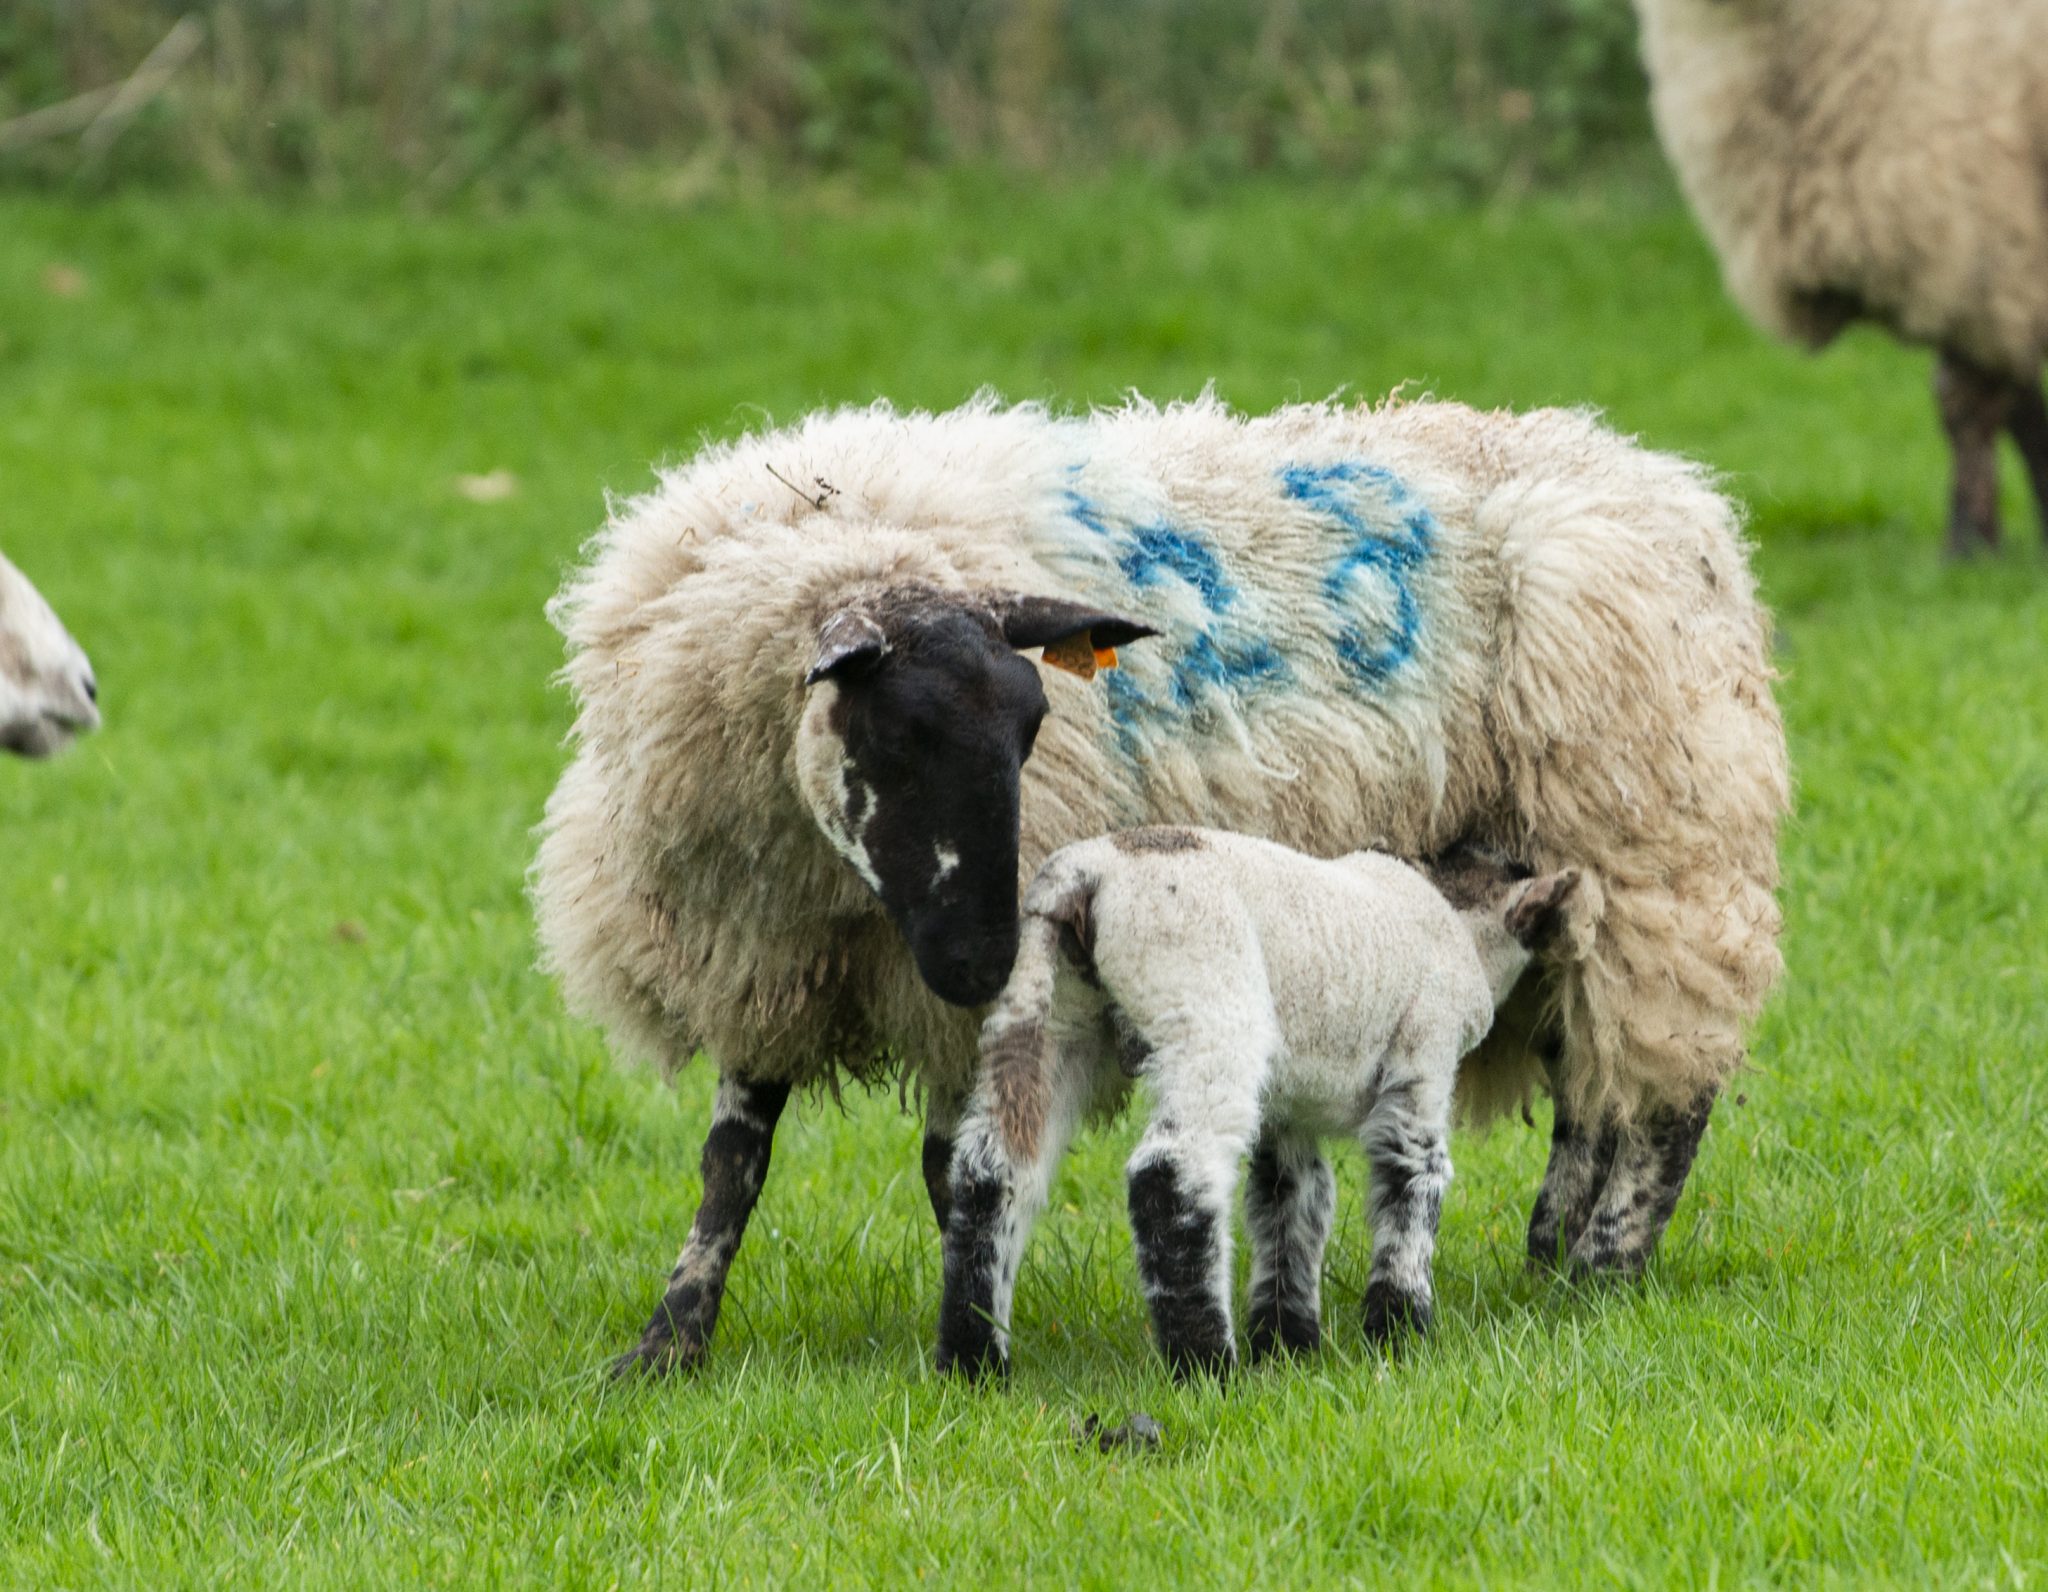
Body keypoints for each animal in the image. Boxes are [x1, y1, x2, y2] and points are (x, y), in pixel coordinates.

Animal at [937, 831, 1572, 1376]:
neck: (1452, 908)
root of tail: (1083, 878)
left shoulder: (1288, 1107)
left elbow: (1293, 1199)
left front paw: (1288, 1344)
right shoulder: (1423, 1056)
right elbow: (1414, 1182)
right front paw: (1398, 1333)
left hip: (1043, 1007)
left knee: (991, 1173)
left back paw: (974, 1361)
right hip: (1207, 1006)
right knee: (1170, 1175)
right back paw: (1204, 1364)